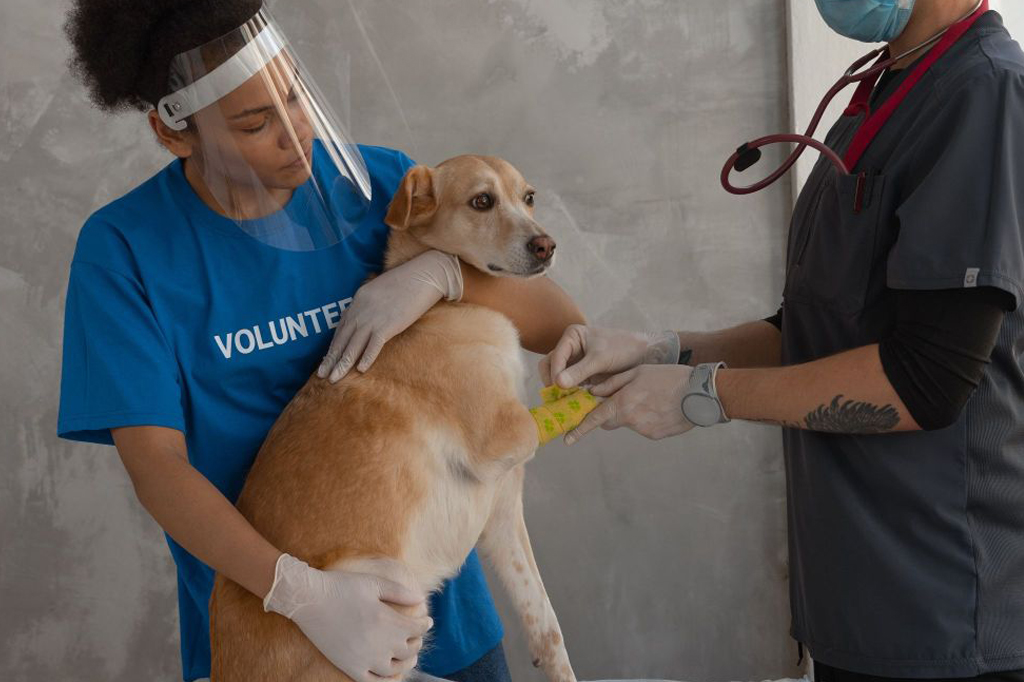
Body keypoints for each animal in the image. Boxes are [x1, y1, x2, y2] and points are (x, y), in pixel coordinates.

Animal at [209, 155, 577, 679]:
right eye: (482, 201)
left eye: (528, 198)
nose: (546, 245)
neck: (451, 304)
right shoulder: (499, 439)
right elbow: (530, 423)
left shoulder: (503, 513)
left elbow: (545, 623)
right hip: (389, 595)